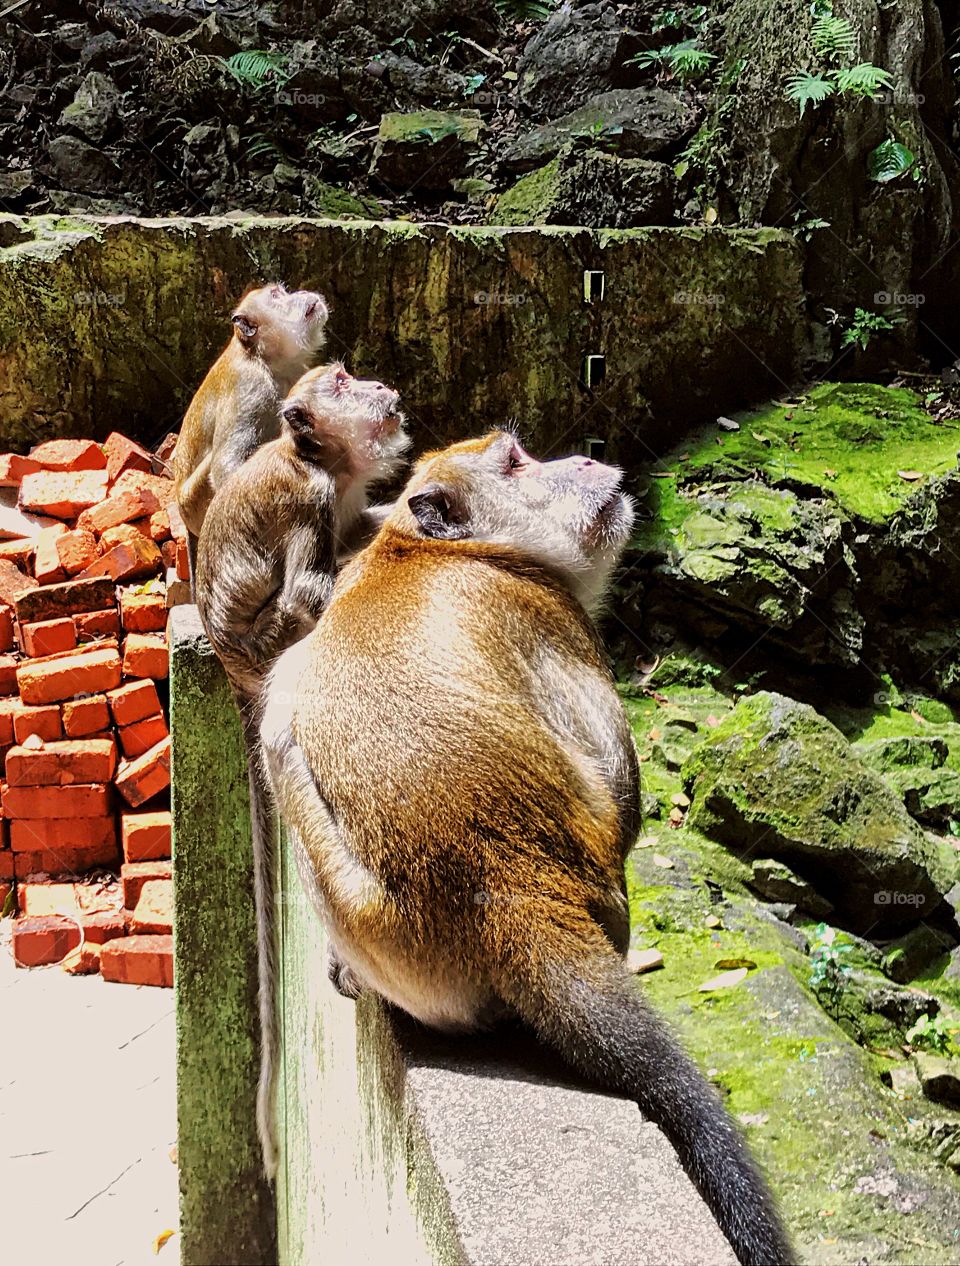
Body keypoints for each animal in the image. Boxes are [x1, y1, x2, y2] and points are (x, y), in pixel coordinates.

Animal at [173, 282, 329, 581]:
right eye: (277, 296)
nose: (302, 293)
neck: (263, 357)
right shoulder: (251, 388)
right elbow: (226, 464)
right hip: (196, 503)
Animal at [195, 361, 409, 1180]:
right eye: (344, 382)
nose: (379, 385)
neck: (326, 462)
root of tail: (233, 671)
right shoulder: (310, 499)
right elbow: (308, 592)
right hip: (267, 647)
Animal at [259, 430, 792, 1265]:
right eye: (515, 460)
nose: (585, 459)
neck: (423, 549)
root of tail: (512, 884)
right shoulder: (553, 612)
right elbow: (618, 783)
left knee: (278, 723)